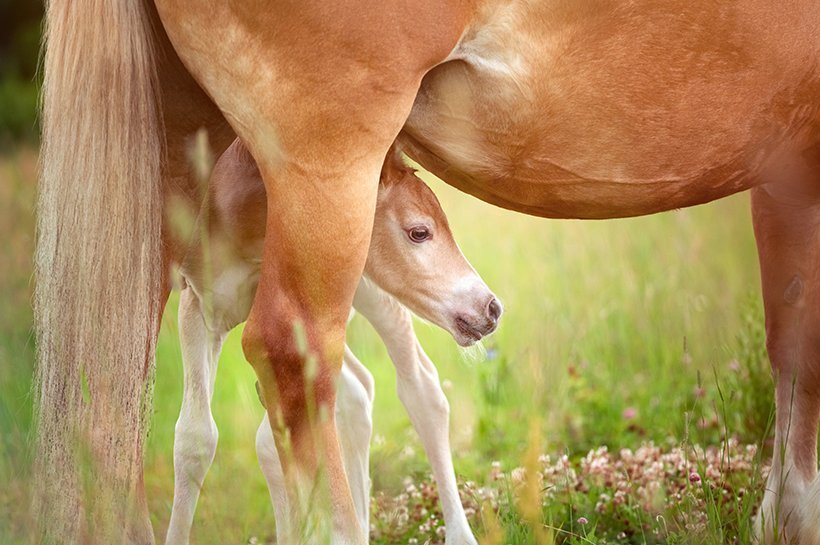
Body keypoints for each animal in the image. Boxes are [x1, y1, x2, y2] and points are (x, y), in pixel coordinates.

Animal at [167, 140, 500, 544]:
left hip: (367, 292)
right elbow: (195, 439)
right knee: (356, 390)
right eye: (419, 232)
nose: (491, 308)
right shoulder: (199, 306)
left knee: (420, 387)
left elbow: (268, 443)